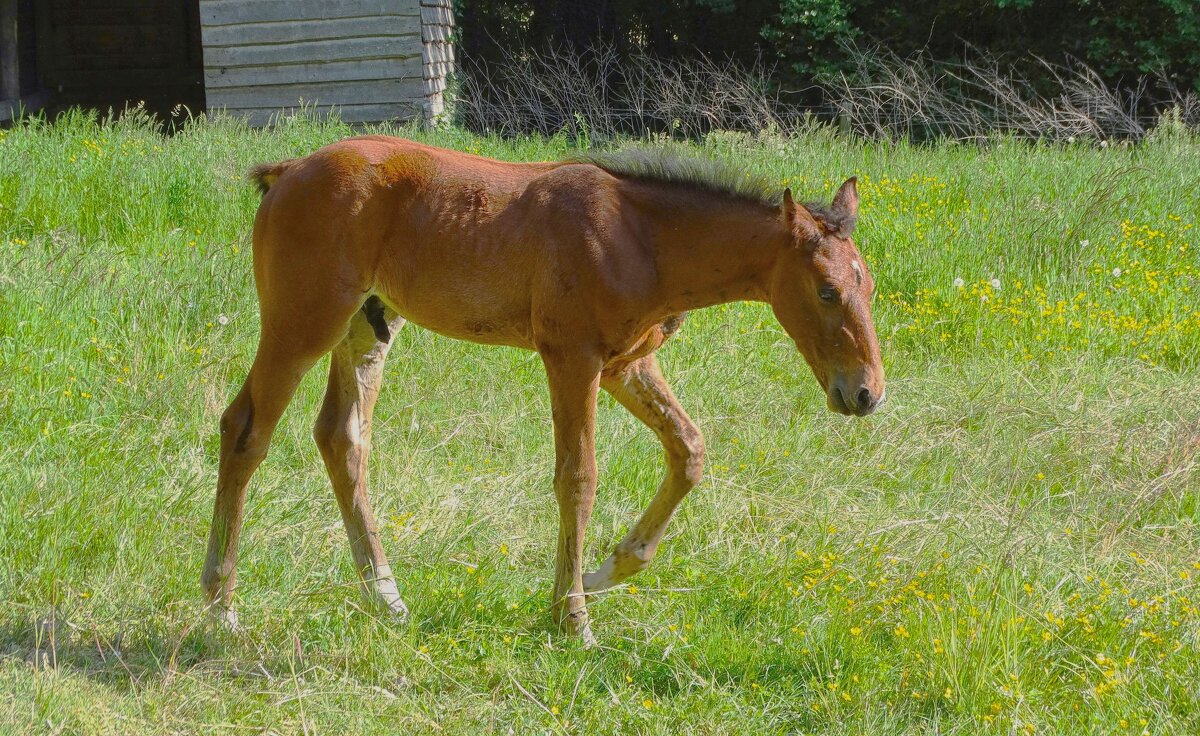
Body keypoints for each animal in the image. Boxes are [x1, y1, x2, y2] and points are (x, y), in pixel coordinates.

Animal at [204, 135, 883, 638]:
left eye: (869, 286)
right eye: (826, 291)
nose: (866, 393)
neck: (642, 237)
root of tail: (288, 172)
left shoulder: (625, 366)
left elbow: (689, 449)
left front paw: (610, 570)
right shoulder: (572, 358)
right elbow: (578, 476)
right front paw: (572, 616)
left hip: (367, 326)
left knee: (342, 438)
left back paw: (386, 597)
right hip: (302, 324)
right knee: (245, 430)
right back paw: (220, 607)